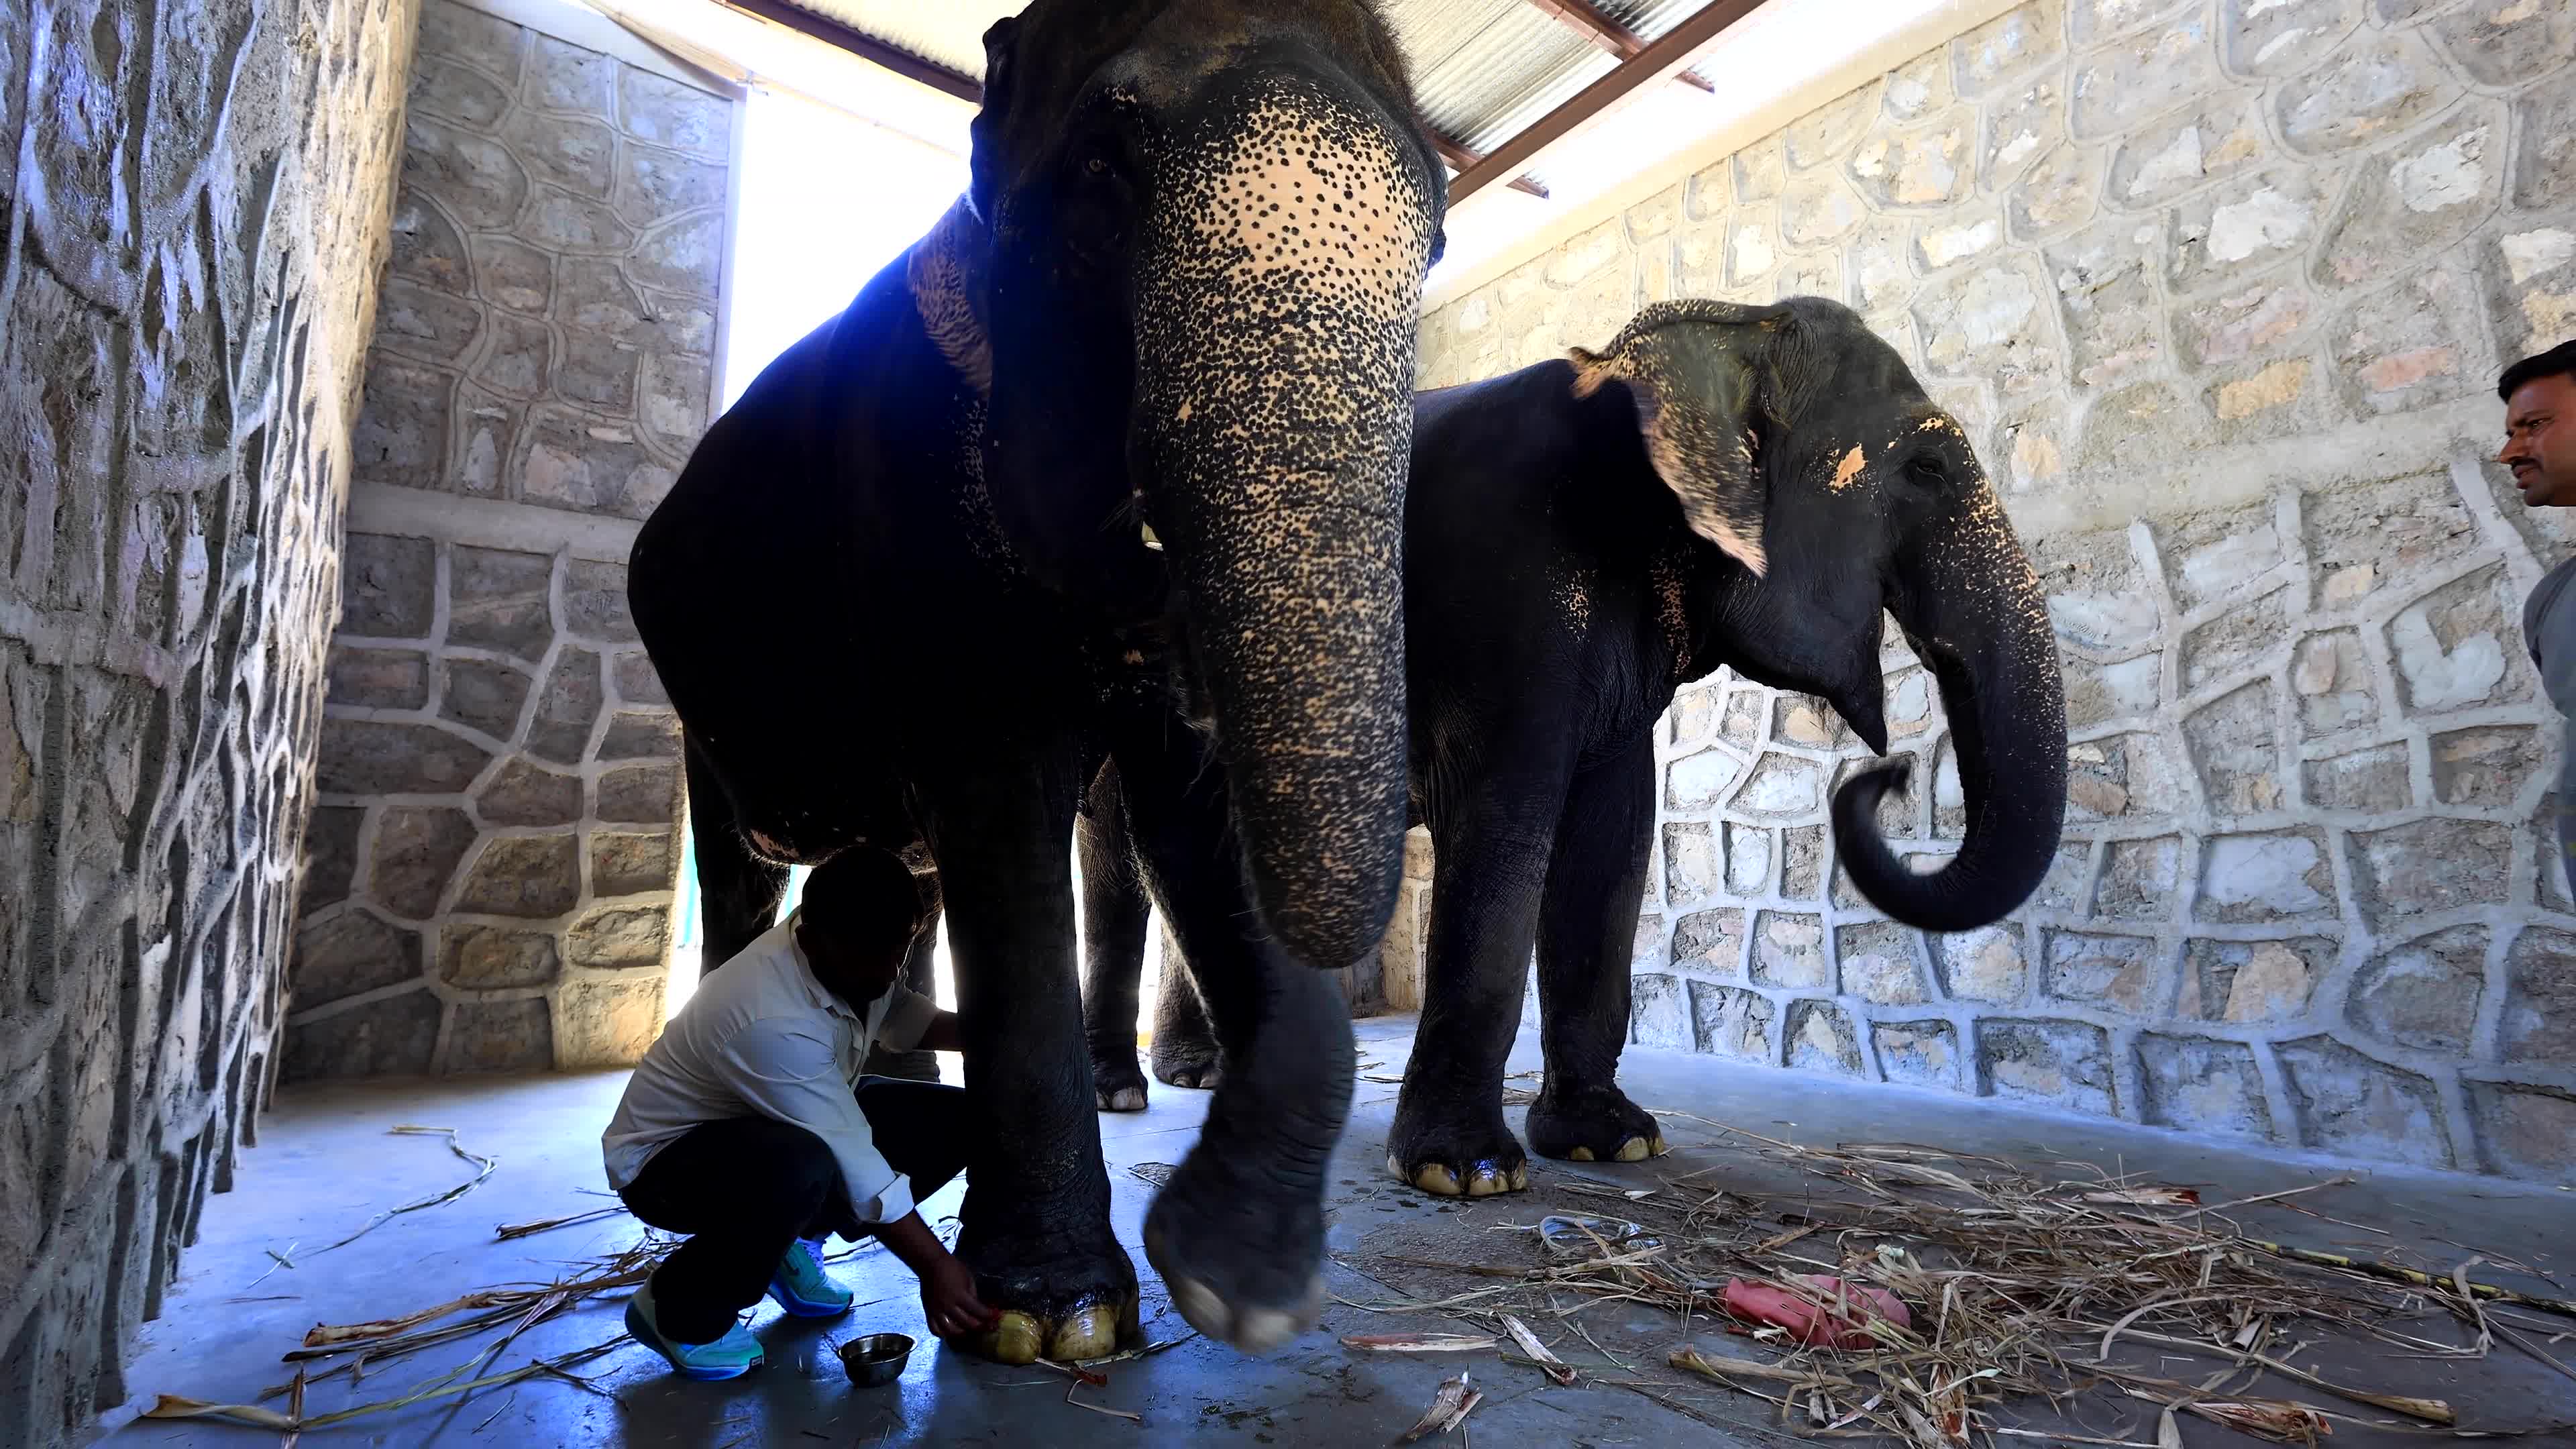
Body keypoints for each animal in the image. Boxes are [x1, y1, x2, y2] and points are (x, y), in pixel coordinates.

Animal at [627, 1, 1450, 1363]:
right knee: (745, 873)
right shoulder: (911, 496)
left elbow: (1194, 816)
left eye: (1436, 243)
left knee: (900, 880)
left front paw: (1235, 1282)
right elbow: (1005, 803)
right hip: (701, 700)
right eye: (1103, 176)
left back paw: (896, 1090)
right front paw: (1053, 1318)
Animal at [1083, 297, 2070, 1198]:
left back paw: (1206, 1078)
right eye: (1926, 469)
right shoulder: (1508, 591)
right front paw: (1465, 1173)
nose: (1888, 774)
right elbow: (1505, 822)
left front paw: (1614, 1143)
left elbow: (1611, 833)